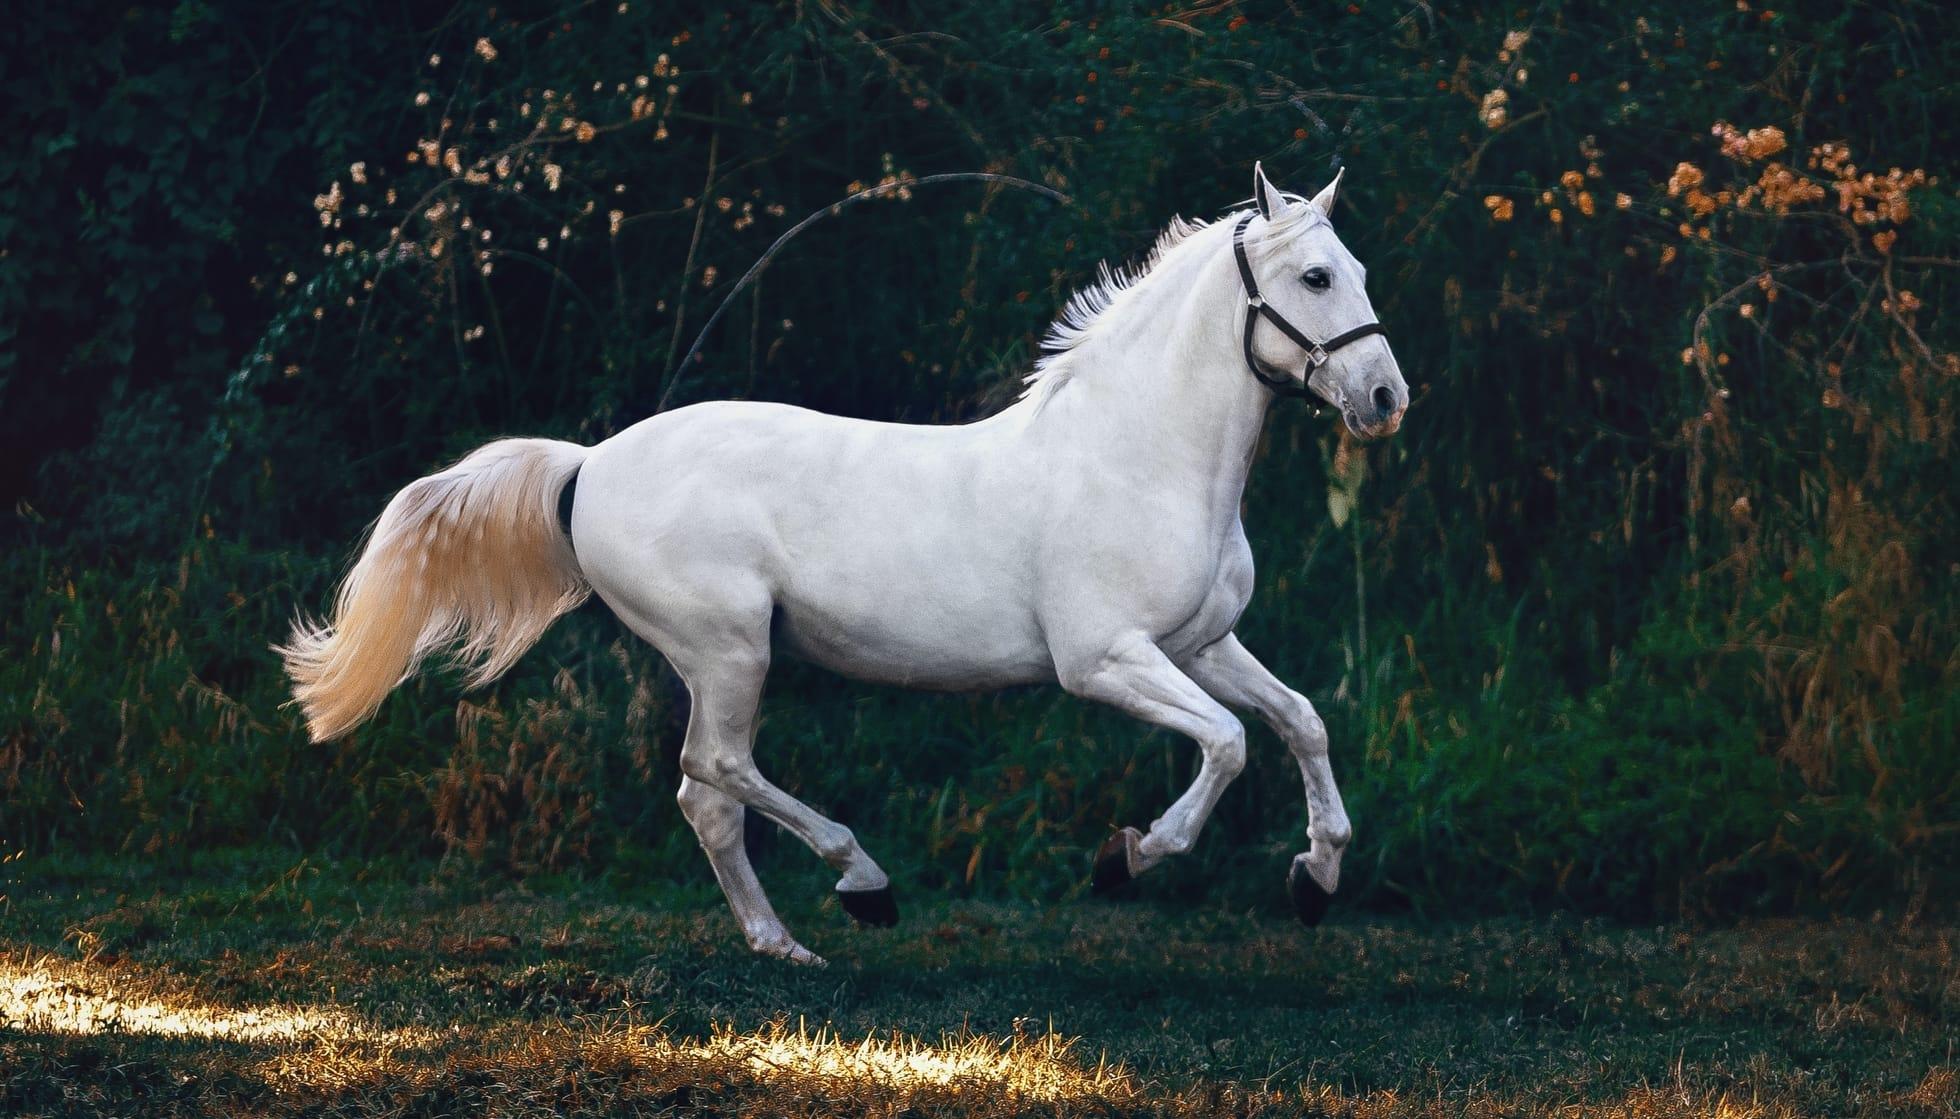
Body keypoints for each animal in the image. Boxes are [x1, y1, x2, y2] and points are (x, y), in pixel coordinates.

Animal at [280, 164, 1409, 964]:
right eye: (1315, 277)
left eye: (1358, 272)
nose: (1385, 399)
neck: (1139, 455)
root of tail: (589, 463)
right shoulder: (1105, 660)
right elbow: (1227, 744)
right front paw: (1128, 857)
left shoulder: (1203, 643)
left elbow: (1299, 721)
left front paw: (1315, 877)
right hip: (729, 649)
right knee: (716, 771)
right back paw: (862, 883)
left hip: (723, 659)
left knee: (705, 797)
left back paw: (784, 944)